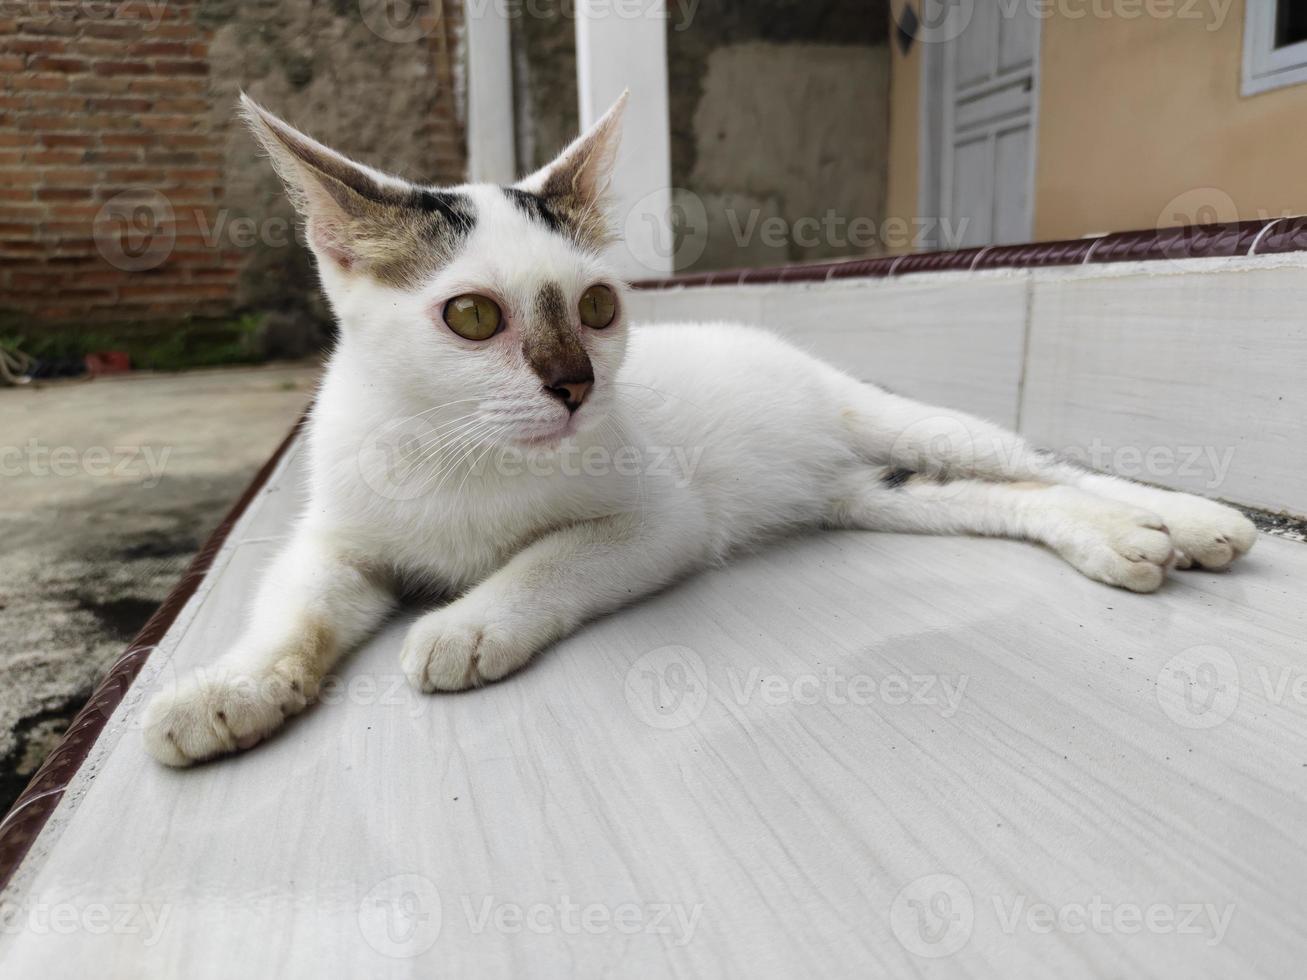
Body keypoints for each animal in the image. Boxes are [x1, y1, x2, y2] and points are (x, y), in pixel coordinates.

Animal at [140, 92, 1254, 768]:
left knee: (1043, 463)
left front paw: (469, 622)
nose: (576, 386)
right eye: (472, 317)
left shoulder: (660, 520)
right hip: (867, 495)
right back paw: (1122, 542)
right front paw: (228, 687)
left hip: (895, 420)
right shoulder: (334, 538)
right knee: (1002, 498)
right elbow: (298, 606)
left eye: (596, 307)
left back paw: (1184, 518)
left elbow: (553, 556)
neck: (464, 455)